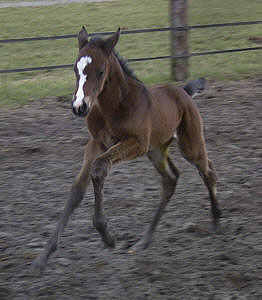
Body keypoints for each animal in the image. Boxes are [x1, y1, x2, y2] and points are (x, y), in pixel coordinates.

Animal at [32, 27, 221, 274]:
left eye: (101, 71)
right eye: (75, 69)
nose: (79, 107)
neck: (114, 106)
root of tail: (183, 91)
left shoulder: (136, 143)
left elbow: (99, 168)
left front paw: (107, 236)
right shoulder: (97, 144)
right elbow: (77, 191)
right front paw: (42, 257)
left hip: (188, 143)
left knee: (207, 171)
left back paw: (216, 221)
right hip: (156, 150)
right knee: (171, 179)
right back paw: (144, 241)